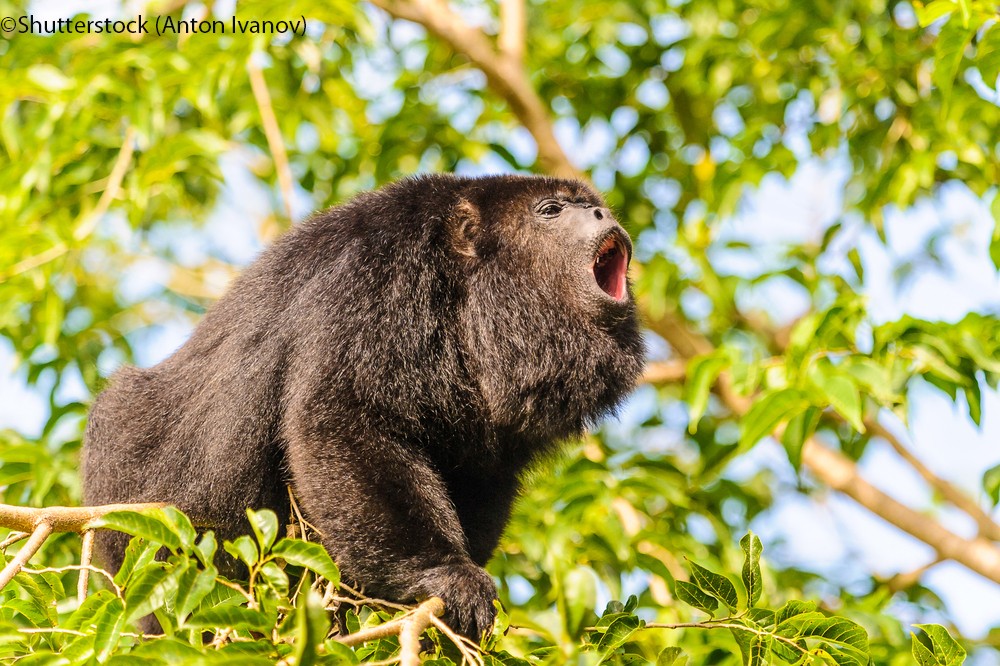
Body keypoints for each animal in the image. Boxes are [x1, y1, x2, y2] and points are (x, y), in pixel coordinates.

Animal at [86, 174, 648, 640]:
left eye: (591, 205)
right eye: (551, 210)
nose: (603, 214)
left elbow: (481, 472)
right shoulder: (376, 277)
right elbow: (342, 420)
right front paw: (445, 574)